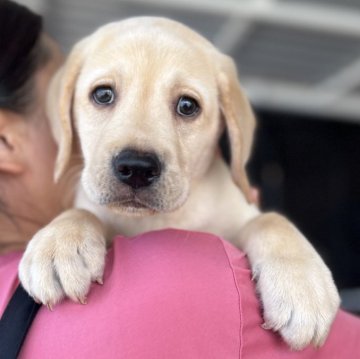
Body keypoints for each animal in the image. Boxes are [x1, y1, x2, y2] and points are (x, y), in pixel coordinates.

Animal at [19, 17, 340, 352]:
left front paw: (303, 286)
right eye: (103, 95)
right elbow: (84, 211)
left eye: (187, 106)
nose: (136, 168)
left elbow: (272, 220)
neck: (159, 219)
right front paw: (59, 244)